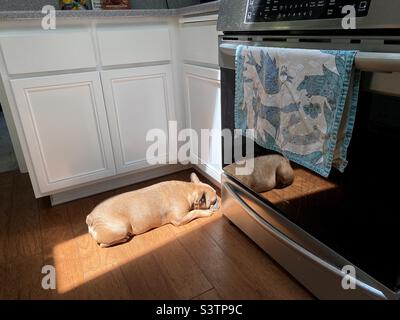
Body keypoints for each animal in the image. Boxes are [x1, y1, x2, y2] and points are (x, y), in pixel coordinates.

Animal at [85, 172, 219, 248]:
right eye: (213, 201)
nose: (219, 202)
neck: (189, 190)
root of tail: (90, 218)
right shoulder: (179, 219)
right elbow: (194, 212)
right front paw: (207, 212)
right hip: (120, 228)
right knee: (103, 244)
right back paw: (124, 238)